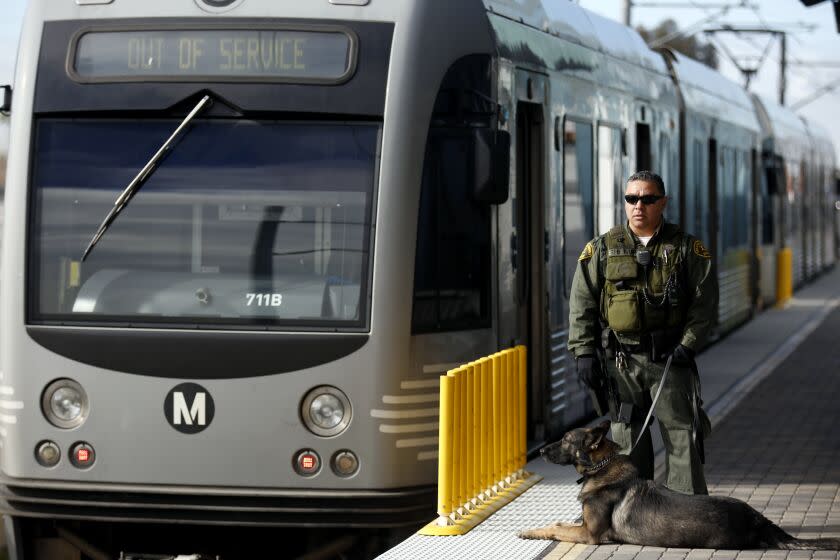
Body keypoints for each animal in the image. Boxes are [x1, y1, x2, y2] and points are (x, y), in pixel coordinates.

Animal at [520, 422, 840, 548]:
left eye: (565, 440)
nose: (540, 450)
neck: (603, 468)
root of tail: (758, 517)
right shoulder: (583, 526)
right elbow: (559, 523)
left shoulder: (589, 535)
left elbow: (556, 529)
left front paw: (530, 531)